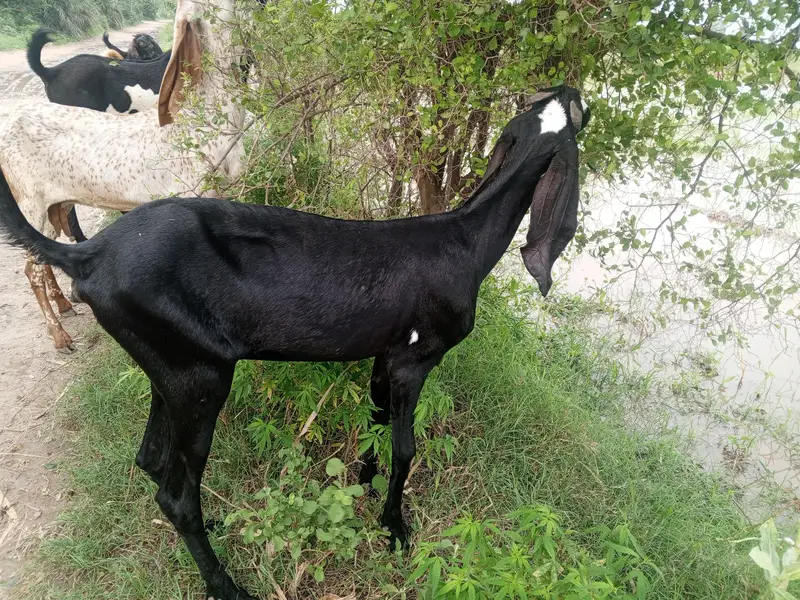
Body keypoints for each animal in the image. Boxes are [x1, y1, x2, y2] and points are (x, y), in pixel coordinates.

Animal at [0, 85, 590, 599]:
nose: (567, 90)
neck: (465, 241)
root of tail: (88, 253)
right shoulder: (415, 359)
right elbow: (404, 449)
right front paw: (395, 529)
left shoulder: (384, 355)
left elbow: (375, 428)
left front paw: (364, 488)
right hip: (200, 378)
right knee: (175, 494)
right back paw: (228, 586)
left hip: (168, 365)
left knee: (150, 458)